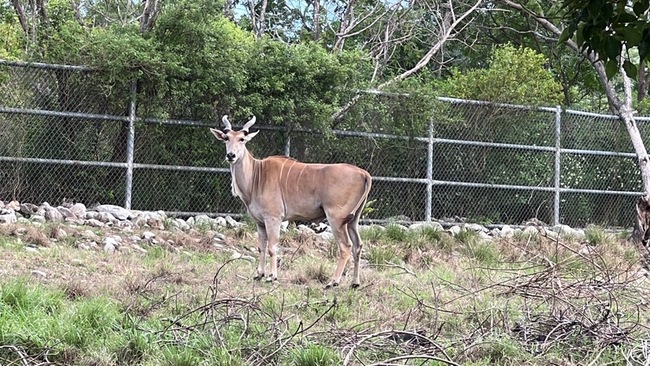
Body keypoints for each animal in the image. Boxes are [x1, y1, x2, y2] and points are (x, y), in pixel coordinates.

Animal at [210, 116, 372, 288]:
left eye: (242, 139)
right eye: (226, 138)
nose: (231, 155)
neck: (256, 175)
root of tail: (364, 174)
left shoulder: (273, 218)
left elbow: (272, 247)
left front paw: (272, 277)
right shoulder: (260, 222)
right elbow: (261, 247)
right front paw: (259, 274)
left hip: (336, 218)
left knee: (346, 247)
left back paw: (332, 282)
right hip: (353, 220)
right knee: (358, 246)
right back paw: (355, 283)